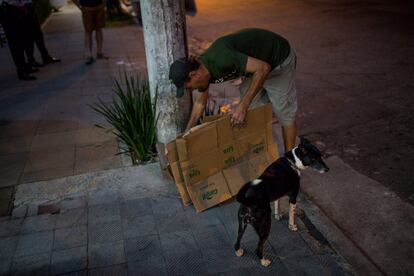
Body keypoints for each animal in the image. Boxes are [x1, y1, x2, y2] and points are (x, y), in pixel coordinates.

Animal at [234, 137, 328, 266]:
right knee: (258, 248)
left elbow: (277, 205)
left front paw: (277, 215)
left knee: (237, 241)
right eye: (314, 159)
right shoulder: (293, 197)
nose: (328, 169)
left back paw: (239, 252)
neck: (292, 162)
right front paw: (292, 226)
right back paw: (264, 262)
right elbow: (291, 213)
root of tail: (248, 200)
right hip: (264, 225)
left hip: (242, 224)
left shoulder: (277, 194)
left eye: (321, 156)